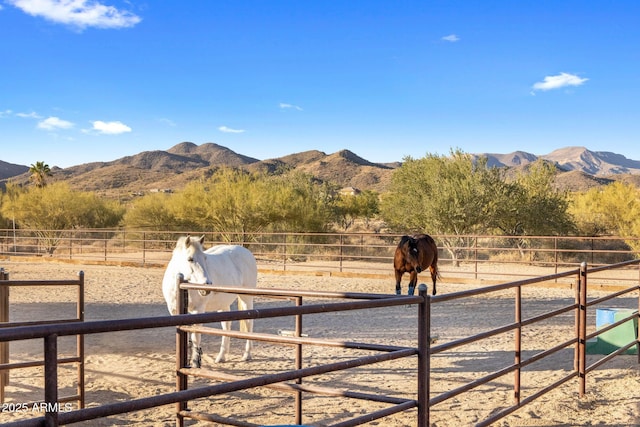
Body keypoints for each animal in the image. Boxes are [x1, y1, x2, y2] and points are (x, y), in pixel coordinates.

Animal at [162, 236, 258, 370]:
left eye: (205, 258)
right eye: (190, 259)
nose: (206, 286)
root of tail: (246, 252)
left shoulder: (198, 310)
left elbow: (195, 337)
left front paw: (195, 363)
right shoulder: (174, 313)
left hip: (246, 299)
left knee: (249, 323)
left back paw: (247, 355)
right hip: (223, 304)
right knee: (226, 326)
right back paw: (221, 357)